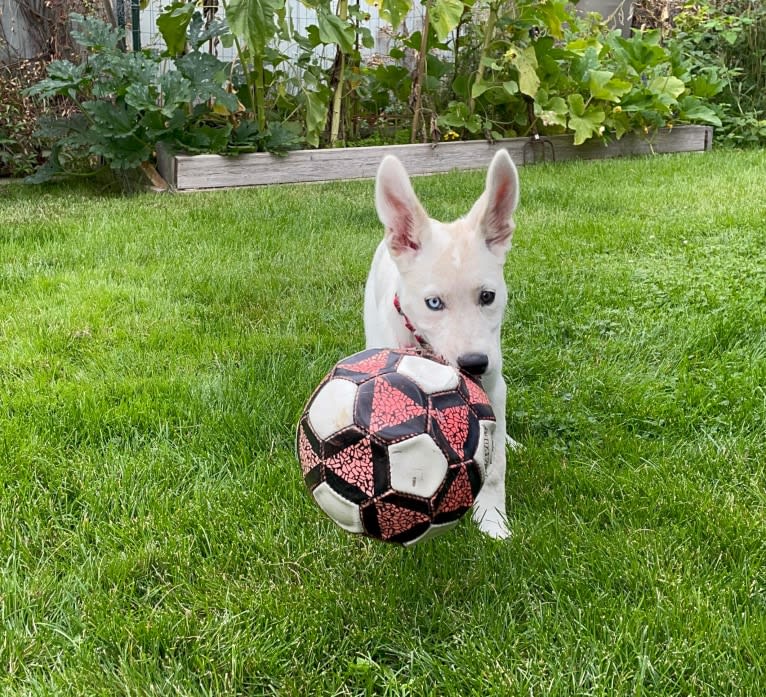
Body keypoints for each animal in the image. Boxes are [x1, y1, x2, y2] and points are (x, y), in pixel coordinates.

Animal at [366, 148, 520, 540]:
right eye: (433, 303)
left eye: (487, 296)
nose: (474, 363)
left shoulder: (493, 384)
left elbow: (496, 463)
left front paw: (492, 518)